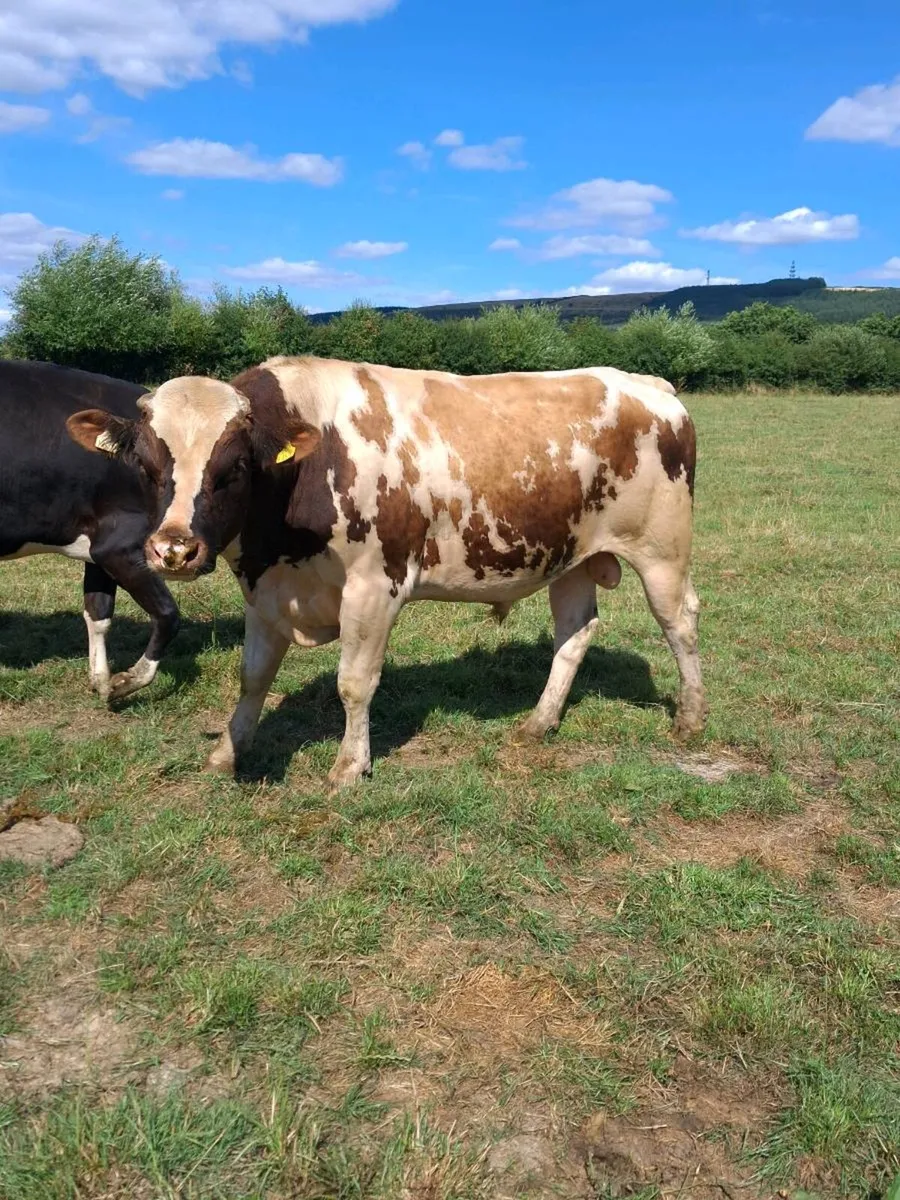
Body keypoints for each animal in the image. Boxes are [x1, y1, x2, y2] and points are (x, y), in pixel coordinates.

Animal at [0, 359, 180, 701]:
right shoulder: (120, 545)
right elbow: (168, 613)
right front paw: (128, 681)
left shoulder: (98, 549)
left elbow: (98, 613)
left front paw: (101, 680)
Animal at [67, 357, 708, 789]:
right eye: (147, 466)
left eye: (234, 468)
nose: (174, 550)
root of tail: (649, 385)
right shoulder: (266, 590)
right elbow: (253, 678)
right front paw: (228, 750)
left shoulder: (375, 587)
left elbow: (354, 682)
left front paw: (350, 767)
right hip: (569, 558)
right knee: (575, 633)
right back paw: (538, 722)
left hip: (662, 550)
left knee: (680, 623)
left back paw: (691, 719)